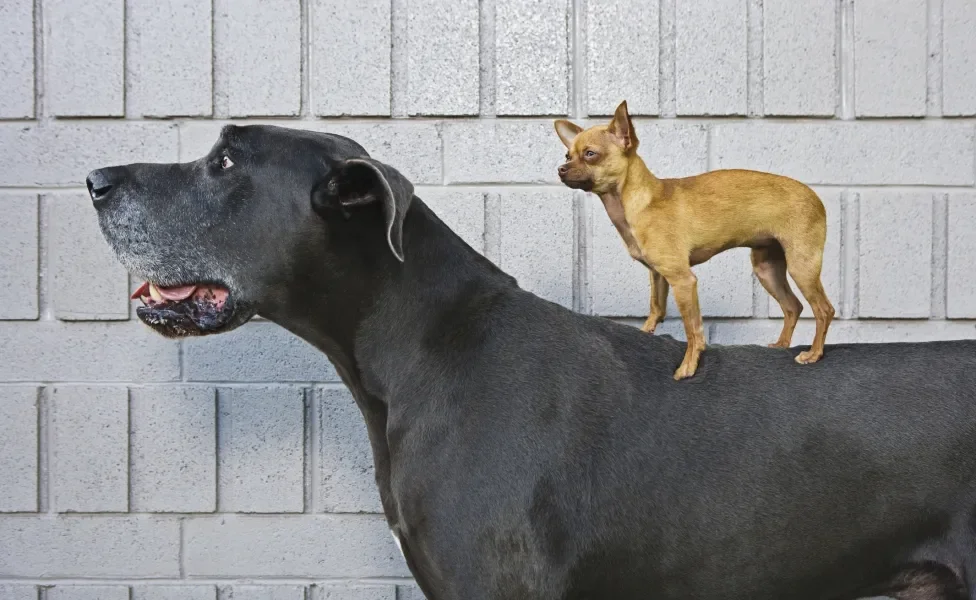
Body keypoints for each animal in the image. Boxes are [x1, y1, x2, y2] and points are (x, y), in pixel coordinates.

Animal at [556, 99, 832, 380]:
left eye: (590, 154)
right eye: (568, 155)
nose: (560, 169)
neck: (638, 201)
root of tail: (816, 196)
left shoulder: (683, 280)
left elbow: (693, 329)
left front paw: (688, 365)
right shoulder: (659, 275)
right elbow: (656, 309)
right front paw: (645, 333)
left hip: (801, 266)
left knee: (823, 310)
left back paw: (814, 354)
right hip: (767, 269)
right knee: (793, 306)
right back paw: (782, 344)